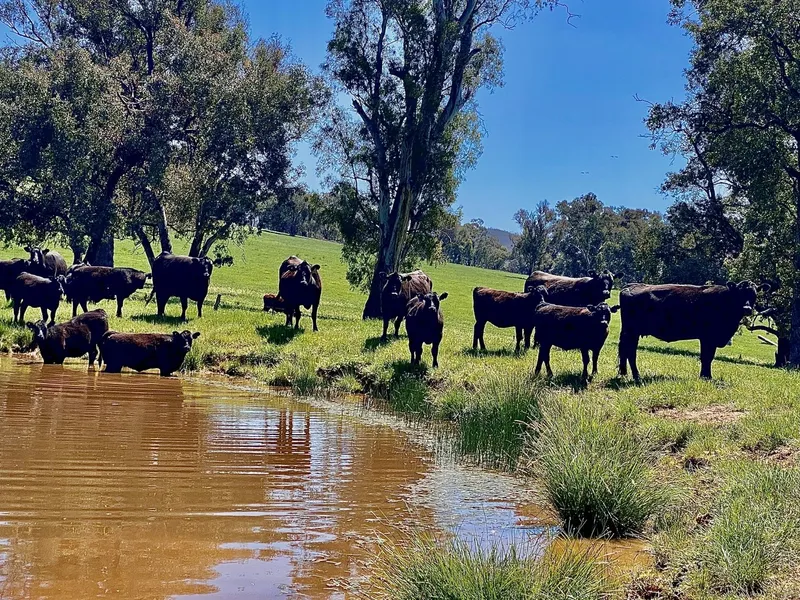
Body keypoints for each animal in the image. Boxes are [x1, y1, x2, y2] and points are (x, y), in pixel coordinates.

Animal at [618, 281, 768, 381]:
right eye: (739, 294)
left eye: (754, 294)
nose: (747, 308)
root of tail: (631, 286)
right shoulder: (708, 337)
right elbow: (707, 357)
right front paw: (706, 377)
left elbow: (708, 357)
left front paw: (705, 376)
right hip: (631, 331)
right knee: (630, 352)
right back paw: (636, 376)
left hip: (631, 332)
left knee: (626, 351)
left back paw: (626, 374)